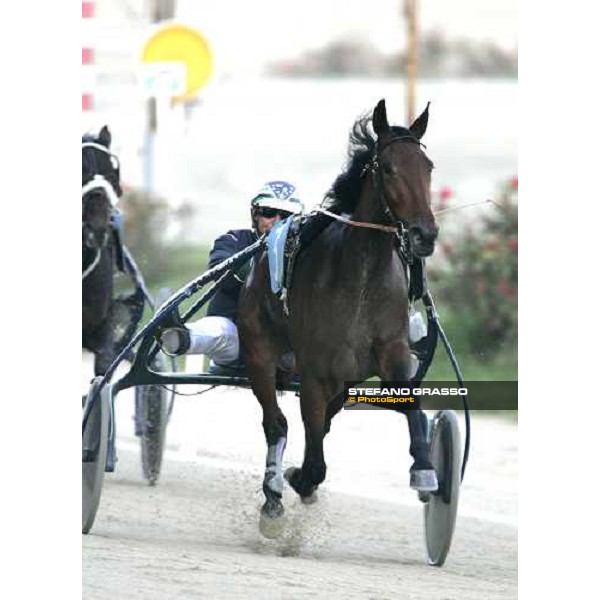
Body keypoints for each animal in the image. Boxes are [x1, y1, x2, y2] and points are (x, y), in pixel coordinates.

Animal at [239, 98, 440, 536]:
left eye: (429, 166)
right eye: (388, 168)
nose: (425, 235)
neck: (361, 279)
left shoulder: (392, 353)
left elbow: (410, 404)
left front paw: (425, 469)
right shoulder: (314, 372)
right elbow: (314, 458)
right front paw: (297, 478)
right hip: (259, 351)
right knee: (276, 423)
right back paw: (274, 495)